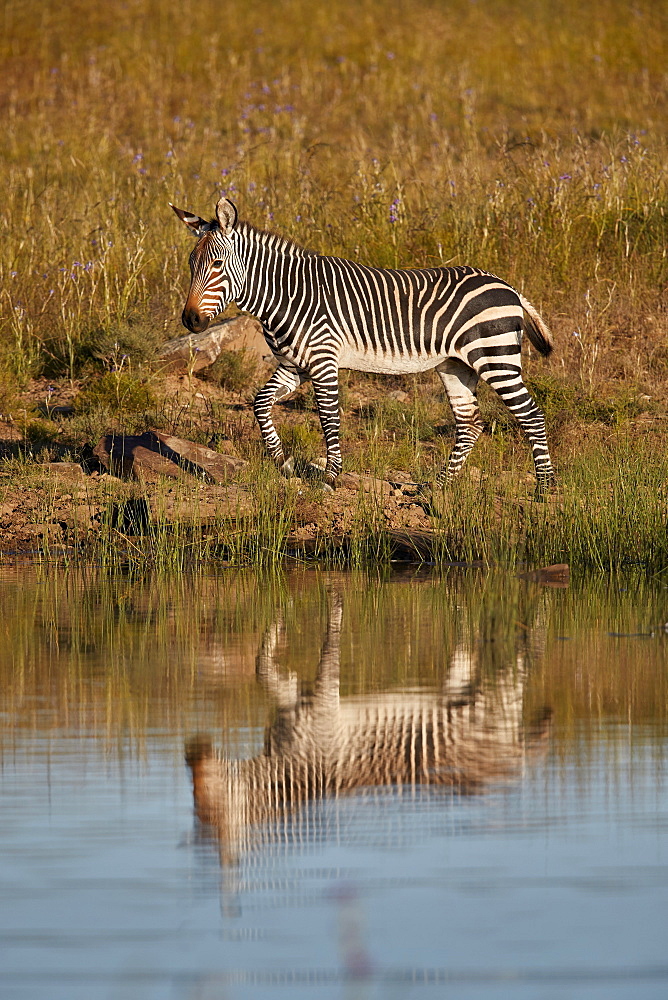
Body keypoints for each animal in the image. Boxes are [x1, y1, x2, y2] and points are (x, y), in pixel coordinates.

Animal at [171, 197, 552, 494]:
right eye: (190, 264)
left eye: (217, 264)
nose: (190, 321)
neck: (287, 295)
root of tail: (508, 287)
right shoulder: (294, 366)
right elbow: (260, 403)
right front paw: (283, 462)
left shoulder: (323, 360)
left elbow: (329, 419)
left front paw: (330, 479)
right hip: (456, 366)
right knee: (469, 424)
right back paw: (439, 486)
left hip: (496, 359)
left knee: (531, 415)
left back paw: (545, 488)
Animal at [185, 588, 552, 864]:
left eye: (207, 800)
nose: (190, 752)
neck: (280, 762)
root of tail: (504, 769)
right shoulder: (295, 698)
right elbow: (262, 665)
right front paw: (282, 618)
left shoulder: (323, 701)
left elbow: (326, 642)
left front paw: (326, 605)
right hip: (462, 695)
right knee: (468, 653)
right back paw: (466, 615)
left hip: (497, 703)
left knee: (526, 661)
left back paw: (538, 618)